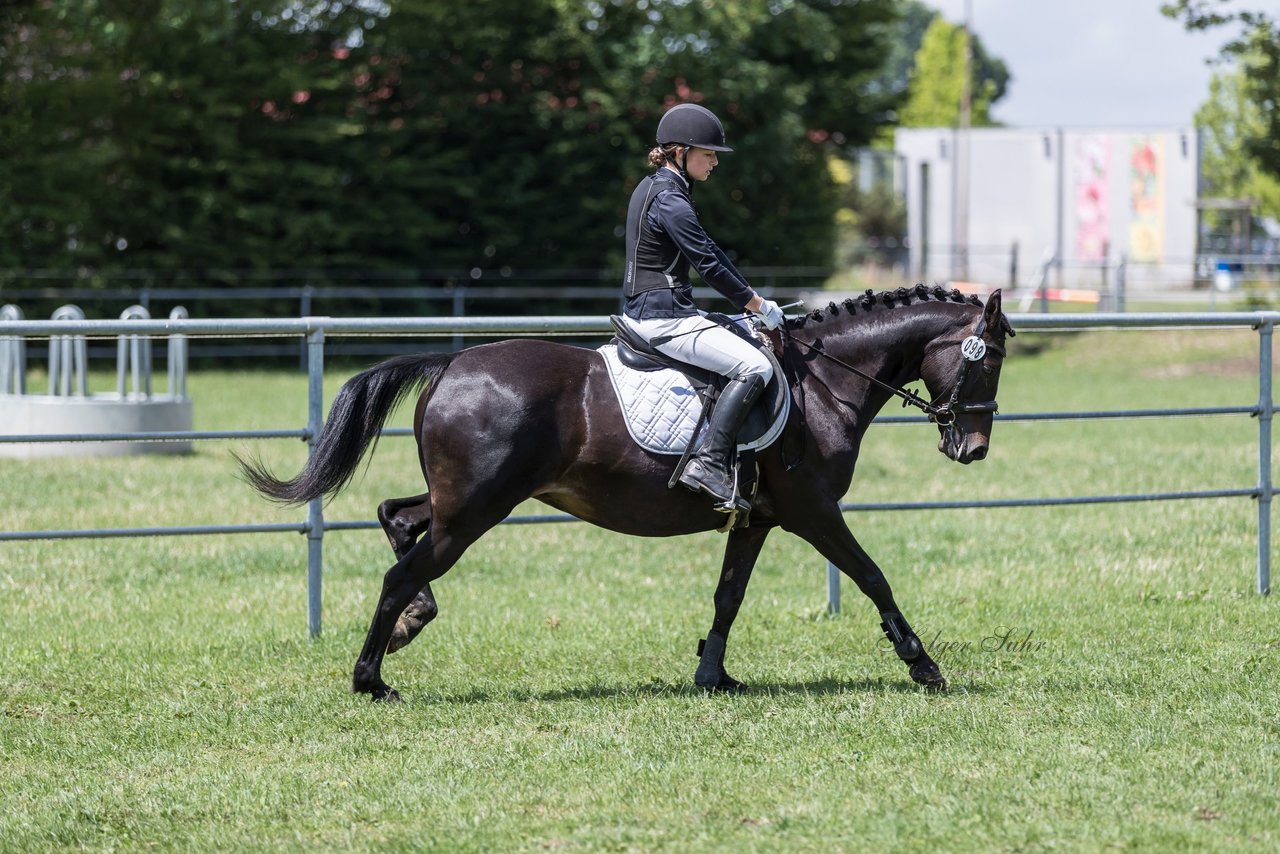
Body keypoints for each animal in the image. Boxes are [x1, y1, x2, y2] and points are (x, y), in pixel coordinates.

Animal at [244, 286, 1013, 701]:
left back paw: (410, 625)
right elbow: (873, 576)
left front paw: (712, 675)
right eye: (991, 359)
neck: (824, 382)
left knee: (398, 520)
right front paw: (924, 666)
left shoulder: (756, 520)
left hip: (461, 502)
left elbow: (728, 595)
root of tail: (452, 361)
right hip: (475, 510)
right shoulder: (813, 511)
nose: (973, 449)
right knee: (402, 570)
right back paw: (372, 678)